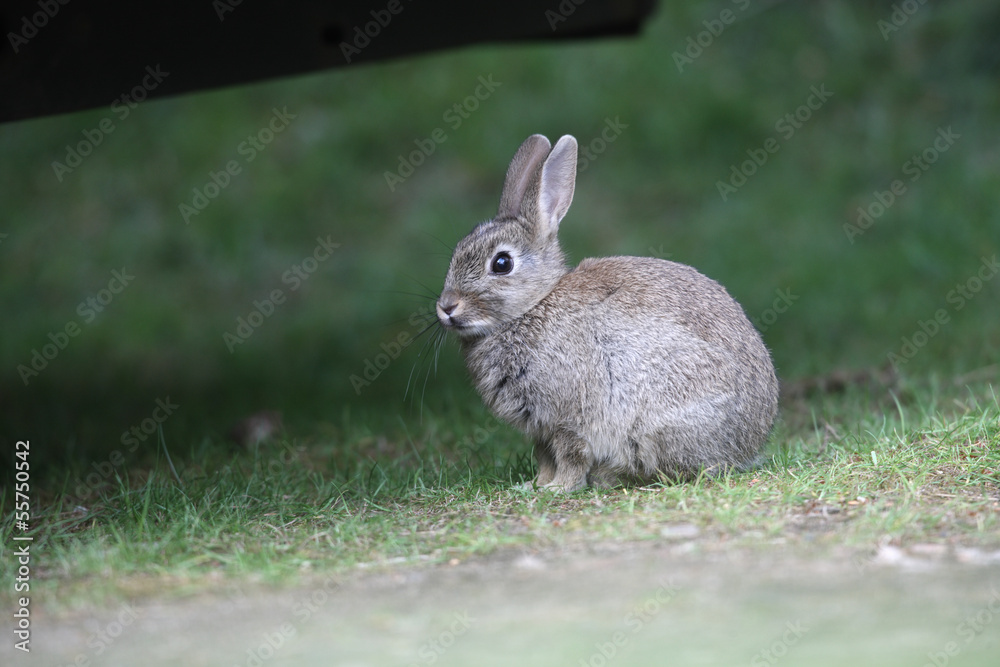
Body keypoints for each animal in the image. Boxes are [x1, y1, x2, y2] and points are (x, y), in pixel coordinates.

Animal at [436, 134, 779, 492]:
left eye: (502, 263)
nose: (446, 307)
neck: (533, 306)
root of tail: (748, 444)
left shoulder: (569, 417)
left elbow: (571, 454)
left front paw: (559, 488)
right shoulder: (540, 428)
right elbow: (544, 457)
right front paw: (536, 485)